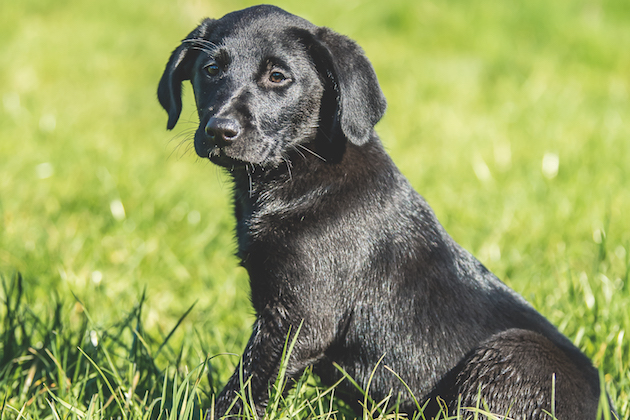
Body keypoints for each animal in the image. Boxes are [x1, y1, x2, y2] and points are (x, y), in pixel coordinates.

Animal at [159, 4, 616, 418]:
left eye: (277, 77)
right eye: (210, 70)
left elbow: (243, 390)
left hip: (512, 356)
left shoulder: (298, 320)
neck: (298, 173)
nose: (219, 131)